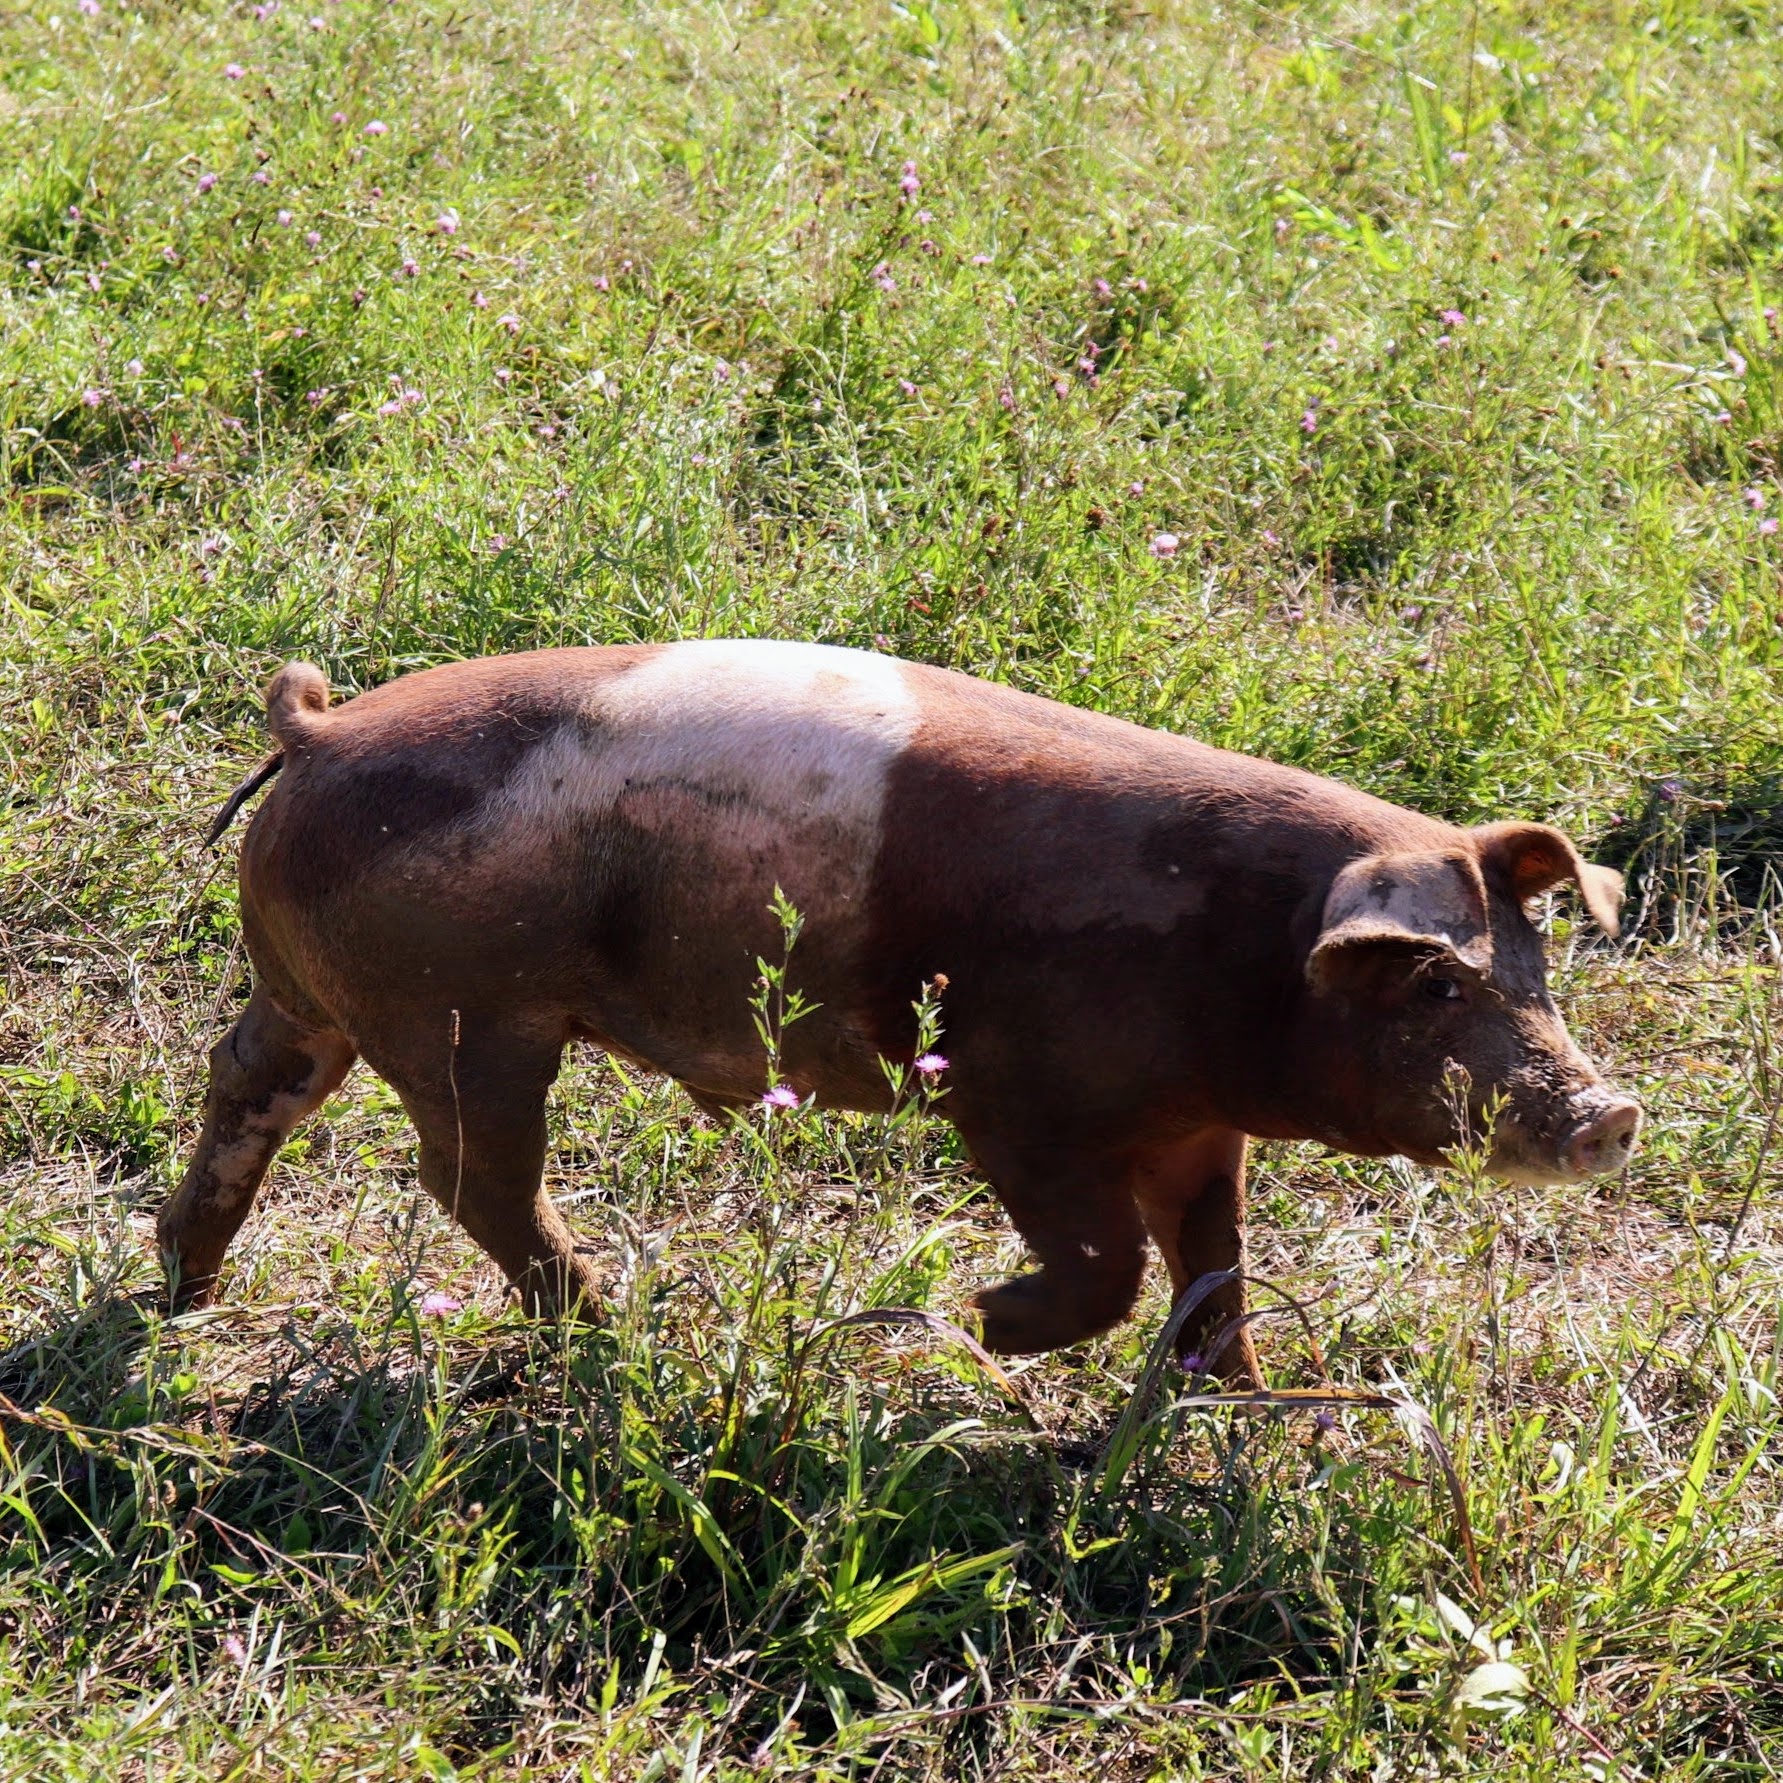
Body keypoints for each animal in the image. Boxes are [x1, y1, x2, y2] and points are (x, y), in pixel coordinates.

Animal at [162, 640, 1641, 1383]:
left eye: (1535, 970)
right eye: (1434, 982)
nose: (1608, 1110)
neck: (1241, 957)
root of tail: (318, 732)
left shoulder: (1193, 1125)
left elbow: (1211, 1258)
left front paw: (1254, 1406)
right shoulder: (1015, 1097)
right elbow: (1106, 1263)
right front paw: (969, 1328)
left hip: (314, 988)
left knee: (248, 1083)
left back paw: (184, 1288)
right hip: (466, 1013)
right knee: (471, 1175)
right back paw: (623, 1335)